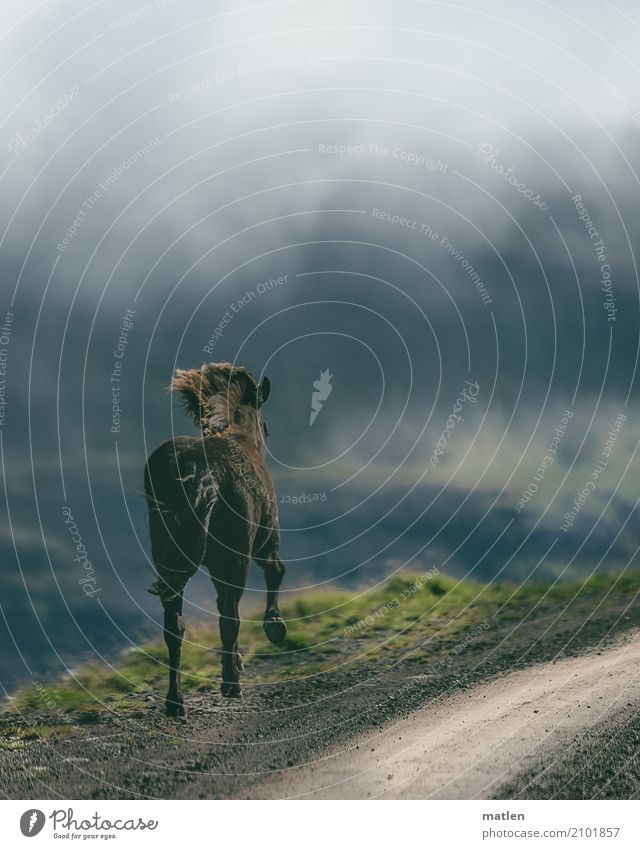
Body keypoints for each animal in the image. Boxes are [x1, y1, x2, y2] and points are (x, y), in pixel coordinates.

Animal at [145, 362, 288, 712]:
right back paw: (230, 685)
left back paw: (175, 702)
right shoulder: (264, 539)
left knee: (175, 627)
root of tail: (198, 471)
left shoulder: (214, 563)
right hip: (238, 555)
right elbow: (275, 571)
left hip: (169, 558)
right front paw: (274, 627)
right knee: (230, 616)